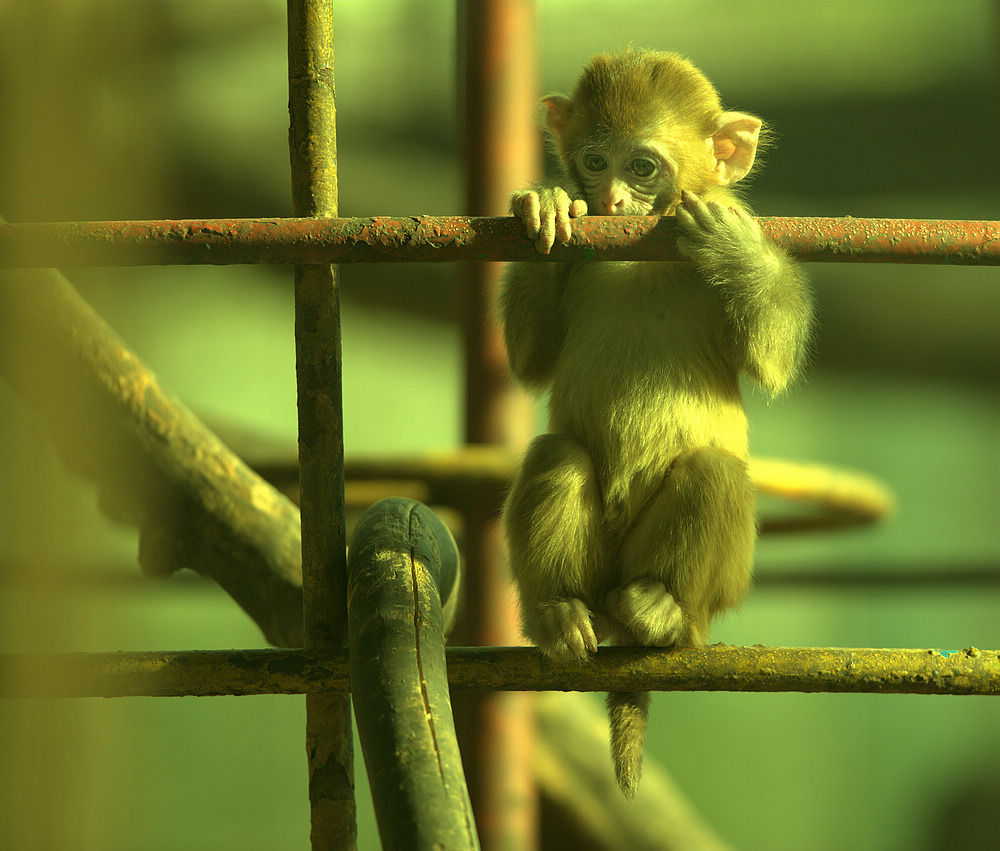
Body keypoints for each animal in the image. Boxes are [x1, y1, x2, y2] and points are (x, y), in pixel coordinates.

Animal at [500, 50, 812, 800]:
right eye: (593, 160)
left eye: (642, 167)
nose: (613, 202)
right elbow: (529, 358)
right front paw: (551, 204)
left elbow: (774, 356)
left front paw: (739, 254)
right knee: (558, 456)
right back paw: (559, 613)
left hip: (716, 587)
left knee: (713, 471)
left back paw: (662, 609)